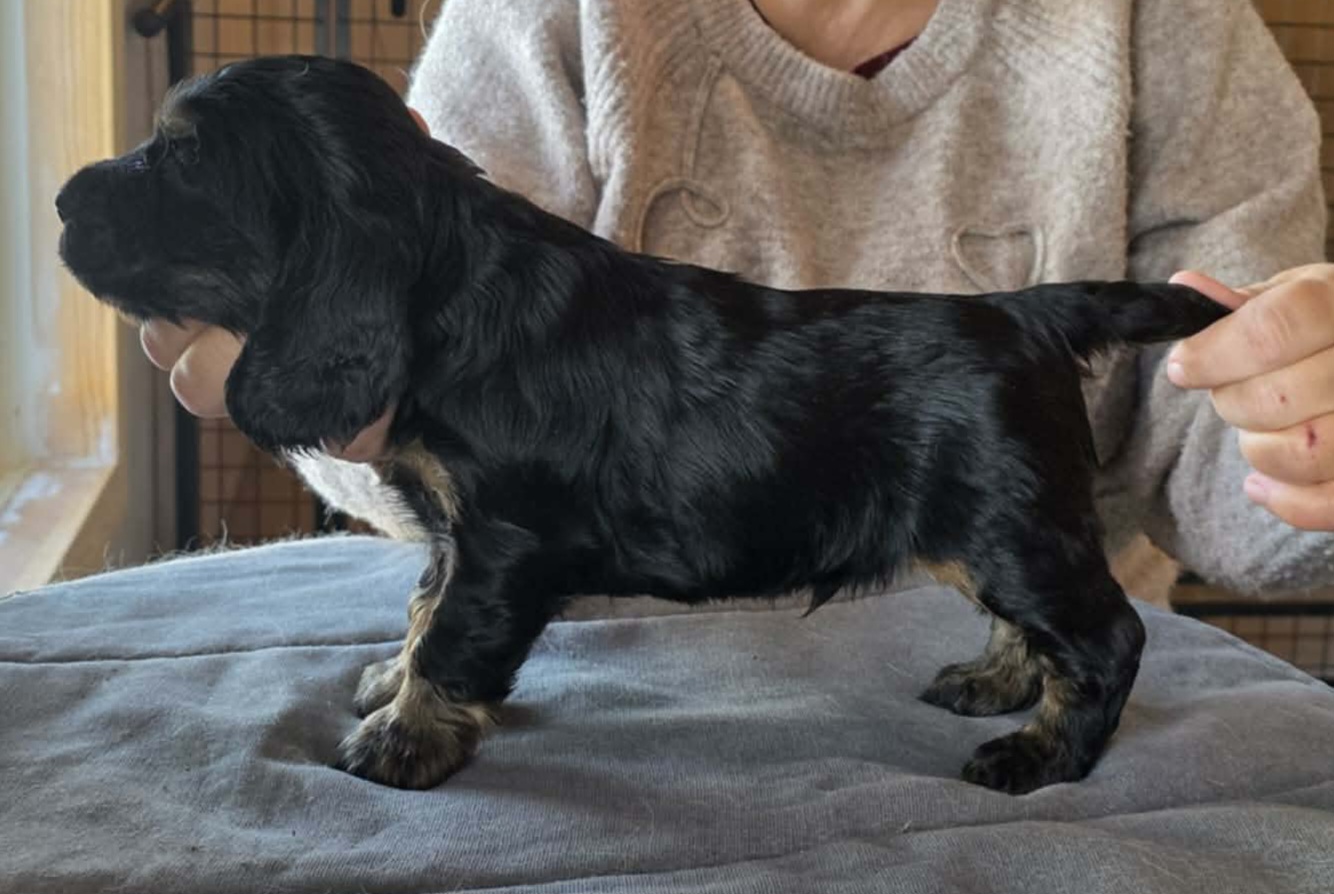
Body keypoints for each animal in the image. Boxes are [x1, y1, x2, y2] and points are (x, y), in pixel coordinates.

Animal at [57, 56, 1227, 794]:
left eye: (181, 160)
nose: (64, 202)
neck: (455, 286)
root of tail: (1025, 310)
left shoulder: (504, 539)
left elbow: (454, 637)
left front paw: (402, 739)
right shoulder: (453, 527)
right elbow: (423, 607)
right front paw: (392, 682)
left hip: (1011, 526)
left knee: (1106, 637)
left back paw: (1040, 756)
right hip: (992, 533)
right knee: (1033, 629)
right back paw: (993, 686)